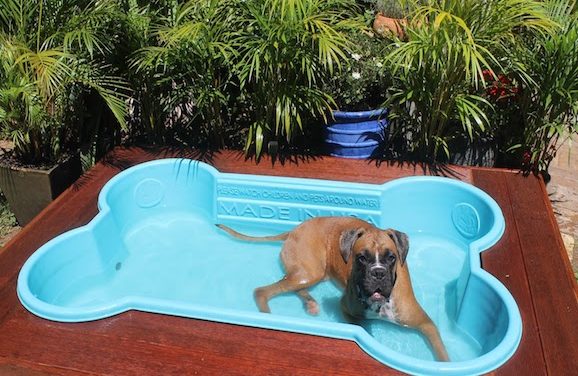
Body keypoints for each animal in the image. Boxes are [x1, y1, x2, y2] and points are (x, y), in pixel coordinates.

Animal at [216, 217, 446, 362]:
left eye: (391, 257)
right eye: (361, 258)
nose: (378, 273)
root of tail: (295, 229)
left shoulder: (427, 324)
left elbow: (442, 355)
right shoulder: (347, 310)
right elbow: (363, 327)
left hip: (311, 274)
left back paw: (310, 303)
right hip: (309, 272)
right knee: (263, 291)